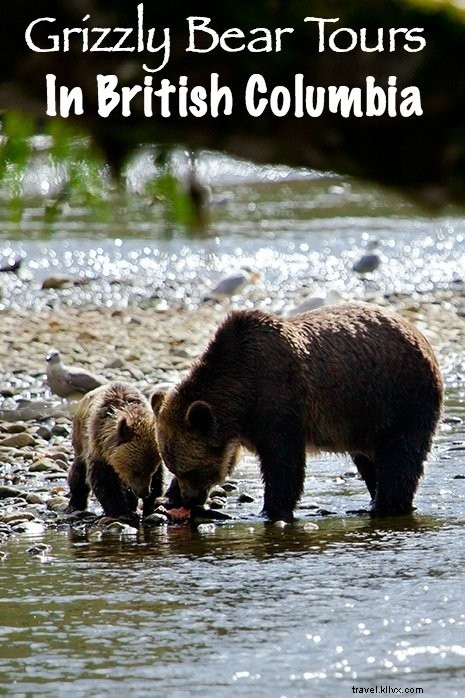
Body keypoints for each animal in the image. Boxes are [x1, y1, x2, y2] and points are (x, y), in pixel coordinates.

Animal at [67, 381, 163, 522]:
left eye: (151, 470)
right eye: (135, 471)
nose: (144, 492)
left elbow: (158, 480)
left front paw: (151, 506)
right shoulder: (99, 448)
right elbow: (103, 480)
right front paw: (121, 512)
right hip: (80, 439)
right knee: (78, 472)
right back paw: (75, 504)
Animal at [153, 303, 444, 522]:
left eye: (194, 470)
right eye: (174, 467)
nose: (191, 498)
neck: (241, 390)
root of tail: (417, 332)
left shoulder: (279, 398)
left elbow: (283, 463)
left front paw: (271, 511)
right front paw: (167, 497)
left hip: (401, 397)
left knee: (400, 456)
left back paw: (386, 505)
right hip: (363, 417)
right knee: (369, 460)